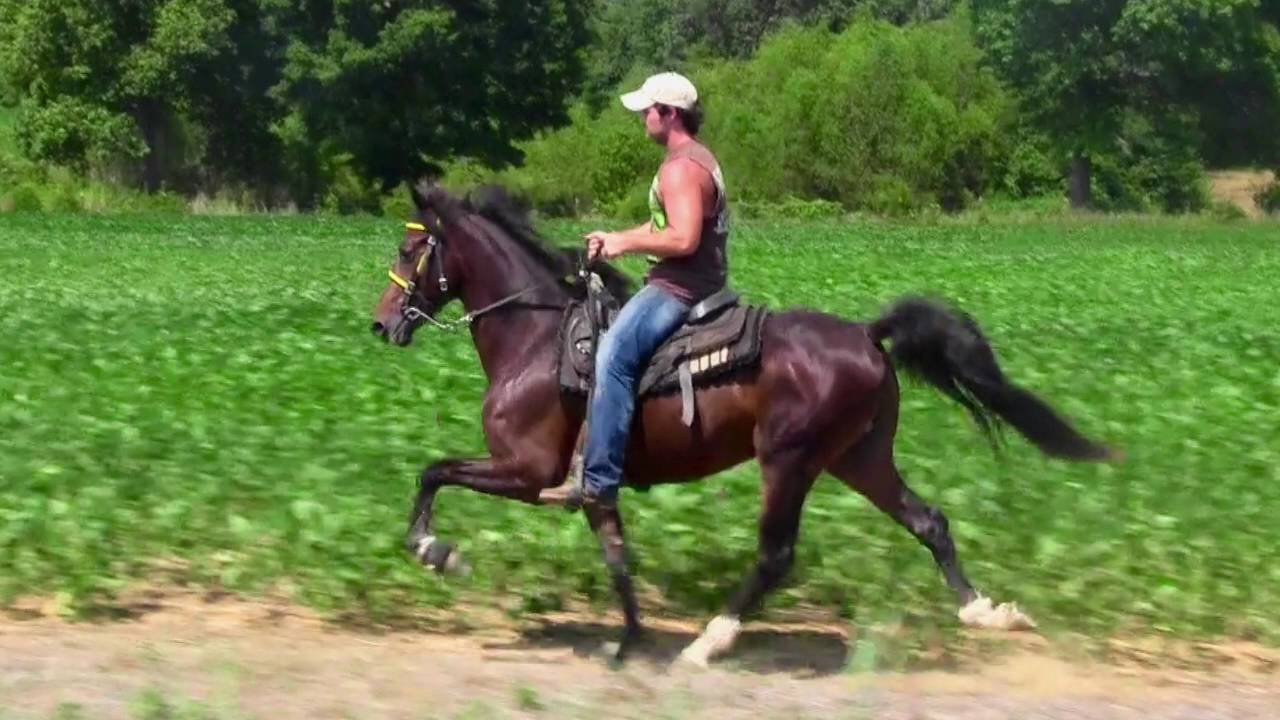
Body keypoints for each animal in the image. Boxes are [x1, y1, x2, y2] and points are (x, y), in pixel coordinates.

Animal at [370, 180, 1120, 666]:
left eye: (410, 252)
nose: (380, 324)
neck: (536, 338)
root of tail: (866, 333)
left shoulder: (528, 472)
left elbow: (432, 471)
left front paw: (435, 550)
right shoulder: (590, 484)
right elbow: (617, 555)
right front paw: (628, 640)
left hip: (788, 460)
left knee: (775, 555)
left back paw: (711, 640)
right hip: (860, 458)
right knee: (929, 521)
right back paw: (986, 611)